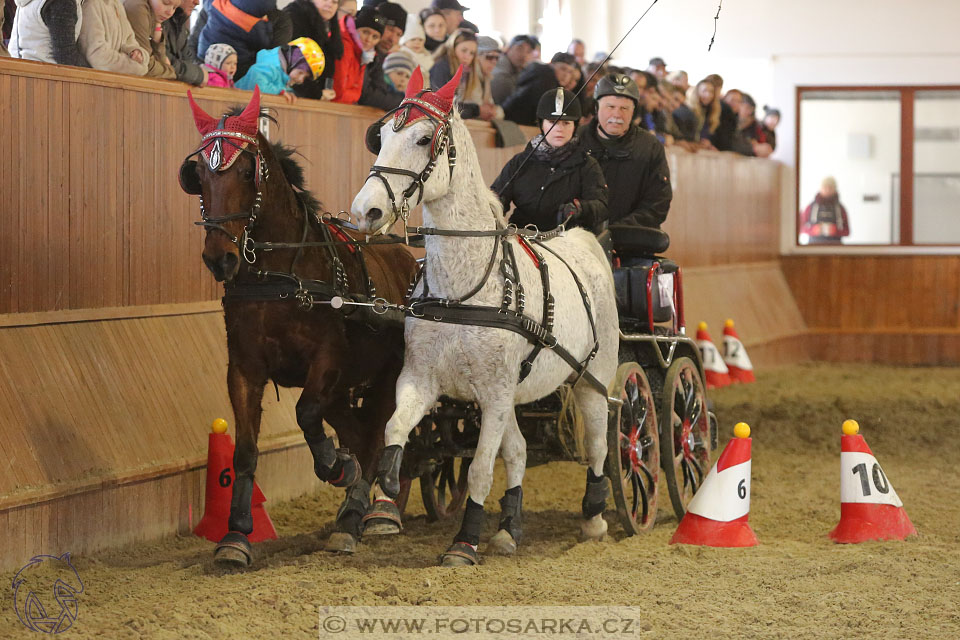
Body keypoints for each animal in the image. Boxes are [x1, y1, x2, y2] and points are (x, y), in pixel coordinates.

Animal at [182, 87, 418, 568]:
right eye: (199, 175)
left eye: (247, 171)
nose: (219, 258)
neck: (280, 274)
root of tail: (406, 256)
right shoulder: (244, 368)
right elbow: (246, 448)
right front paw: (235, 536)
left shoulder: (328, 360)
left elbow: (305, 413)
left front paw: (335, 466)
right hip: (345, 388)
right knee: (356, 430)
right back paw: (351, 508)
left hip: (385, 377)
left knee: (374, 435)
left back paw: (356, 514)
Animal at [352, 67, 624, 568]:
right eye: (381, 137)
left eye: (424, 139)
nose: (366, 211)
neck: (464, 290)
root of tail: (583, 238)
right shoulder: (424, 379)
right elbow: (395, 428)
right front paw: (385, 495)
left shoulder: (495, 396)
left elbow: (479, 469)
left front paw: (463, 543)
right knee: (518, 451)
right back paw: (507, 528)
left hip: (591, 379)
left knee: (598, 444)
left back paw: (595, 517)